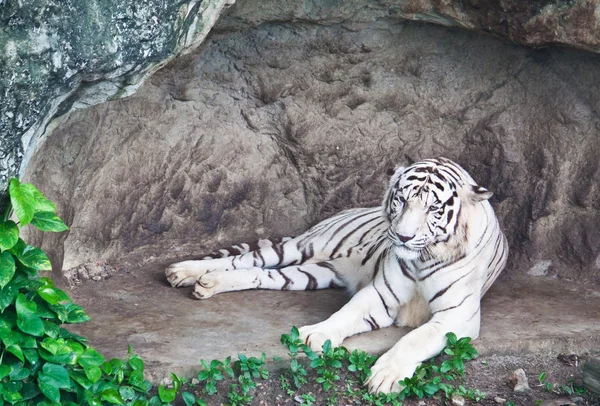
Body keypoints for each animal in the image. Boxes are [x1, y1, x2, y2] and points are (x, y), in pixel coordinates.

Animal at [166, 158, 508, 394]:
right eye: (401, 200)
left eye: (433, 209)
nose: (402, 237)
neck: (422, 258)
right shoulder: (382, 293)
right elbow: (348, 312)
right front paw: (314, 335)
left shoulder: (458, 316)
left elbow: (414, 339)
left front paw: (385, 376)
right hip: (301, 247)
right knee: (245, 259)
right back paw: (183, 271)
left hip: (310, 273)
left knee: (259, 274)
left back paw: (207, 283)